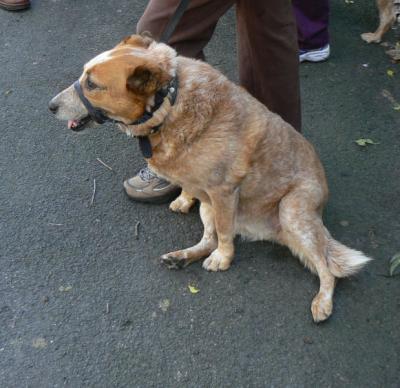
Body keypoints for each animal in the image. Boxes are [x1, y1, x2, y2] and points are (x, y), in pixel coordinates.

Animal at [50, 33, 372, 322]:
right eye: (83, 75)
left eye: (92, 84)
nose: (51, 106)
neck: (170, 103)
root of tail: (269, 232)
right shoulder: (207, 193)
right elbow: (197, 200)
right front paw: (183, 198)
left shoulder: (224, 192)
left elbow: (226, 236)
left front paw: (224, 259)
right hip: (211, 209)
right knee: (207, 238)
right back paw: (181, 257)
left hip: (291, 211)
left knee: (326, 268)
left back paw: (323, 301)